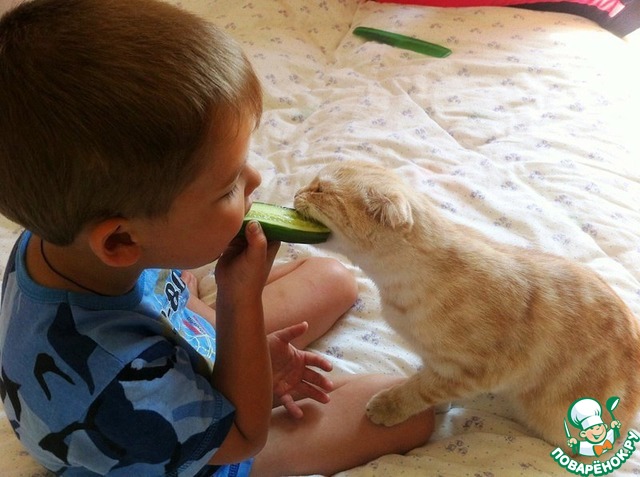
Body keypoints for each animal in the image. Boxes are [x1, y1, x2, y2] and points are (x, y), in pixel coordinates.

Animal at [293, 160, 640, 450]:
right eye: (311, 184)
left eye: (320, 189)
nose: (296, 192)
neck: (395, 288)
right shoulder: (439, 361)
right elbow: (430, 380)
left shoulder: (475, 370)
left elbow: (421, 388)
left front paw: (390, 406)